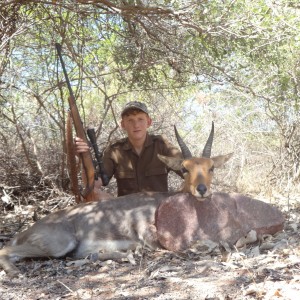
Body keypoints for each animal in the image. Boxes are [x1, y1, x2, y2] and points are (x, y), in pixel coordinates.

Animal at [0, 122, 232, 276]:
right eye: (184, 168)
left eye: (211, 167)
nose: (202, 190)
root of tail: (27, 230)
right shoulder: (150, 235)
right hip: (58, 245)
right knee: (5, 250)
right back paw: (16, 274)